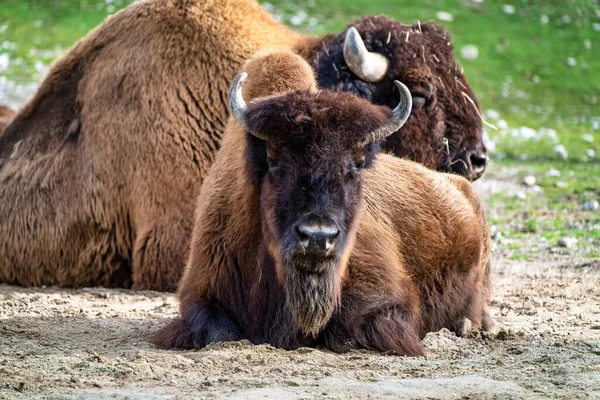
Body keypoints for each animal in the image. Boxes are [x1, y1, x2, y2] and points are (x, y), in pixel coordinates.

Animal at [151, 51, 496, 354]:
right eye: (273, 160)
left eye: (357, 163)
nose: (318, 237)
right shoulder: (201, 289)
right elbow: (219, 332)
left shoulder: (386, 297)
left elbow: (350, 330)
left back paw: (468, 325)